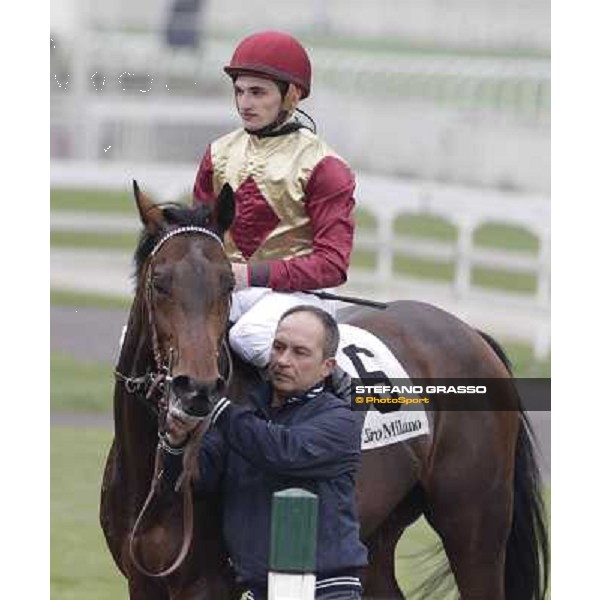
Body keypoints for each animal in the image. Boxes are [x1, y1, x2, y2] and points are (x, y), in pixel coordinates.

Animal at [101, 183, 552, 600]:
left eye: (228, 283)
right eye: (159, 283)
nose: (197, 388)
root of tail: (470, 332)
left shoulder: (207, 585)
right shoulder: (143, 581)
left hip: (475, 526)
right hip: (376, 535)